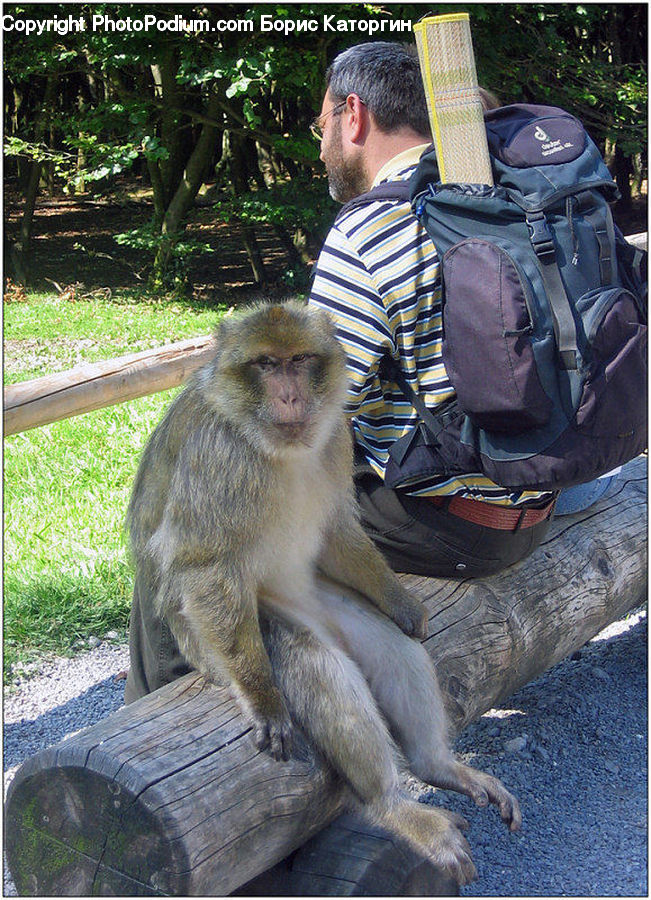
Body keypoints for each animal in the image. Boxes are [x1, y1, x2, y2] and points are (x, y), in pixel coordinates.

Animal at [126, 300, 521, 885]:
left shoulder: (336, 435)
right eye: (266, 365)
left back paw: (437, 766)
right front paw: (264, 699)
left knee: (390, 647)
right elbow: (206, 566)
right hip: (218, 640)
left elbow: (337, 528)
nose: (290, 396)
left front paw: (402, 602)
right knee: (308, 655)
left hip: (325, 597)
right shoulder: (218, 457)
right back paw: (391, 804)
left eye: (299, 361)